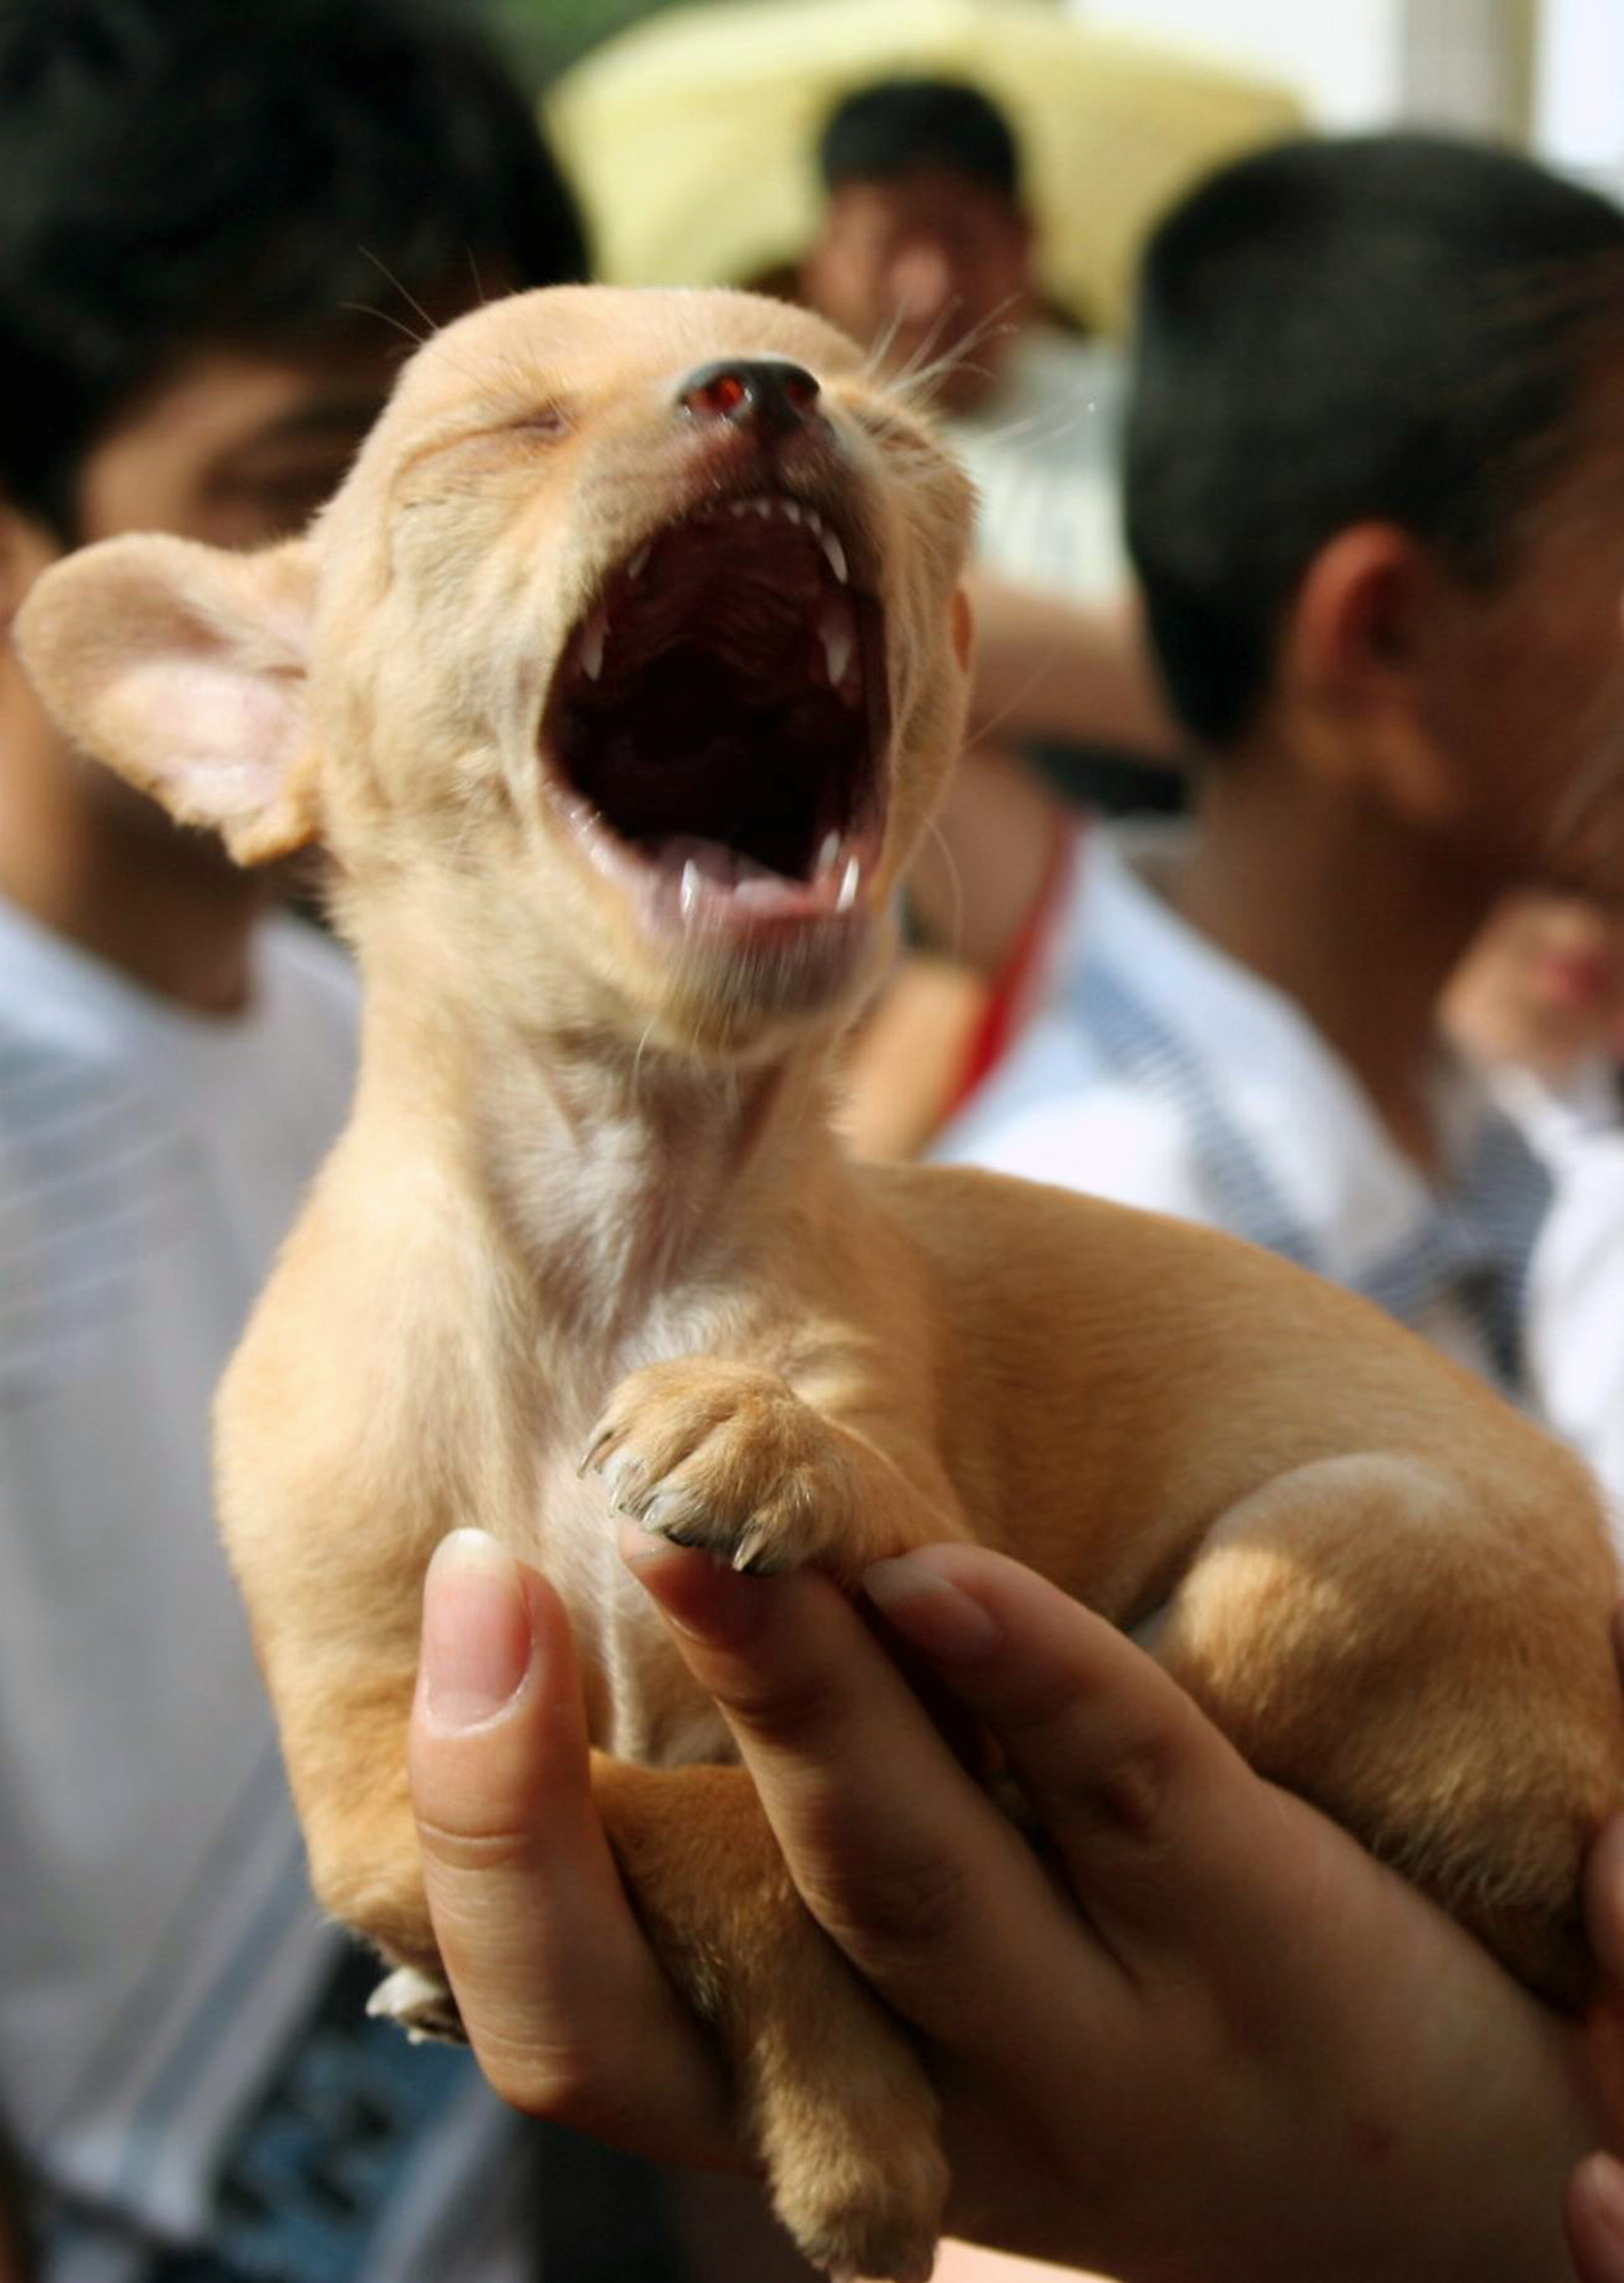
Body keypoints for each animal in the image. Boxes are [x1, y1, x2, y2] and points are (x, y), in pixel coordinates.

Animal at [16, 289, 1624, 2283]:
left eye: (901, 437)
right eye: (501, 432)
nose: (767, 393)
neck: (607, 1234)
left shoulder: (963, 1558)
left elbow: (731, 1790)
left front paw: (766, 1442)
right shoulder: (380, 1781)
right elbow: (662, 1816)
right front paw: (844, 2112)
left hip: (1328, 1551)